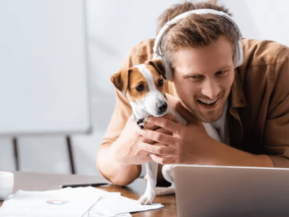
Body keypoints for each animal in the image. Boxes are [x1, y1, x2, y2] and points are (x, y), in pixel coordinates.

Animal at [109, 58, 218, 204]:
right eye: (139, 87)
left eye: (160, 82)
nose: (163, 106)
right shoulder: (150, 154)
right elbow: (151, 178)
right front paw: (149, 196)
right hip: (167, 168)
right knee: (174, 186)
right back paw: (161, 190)